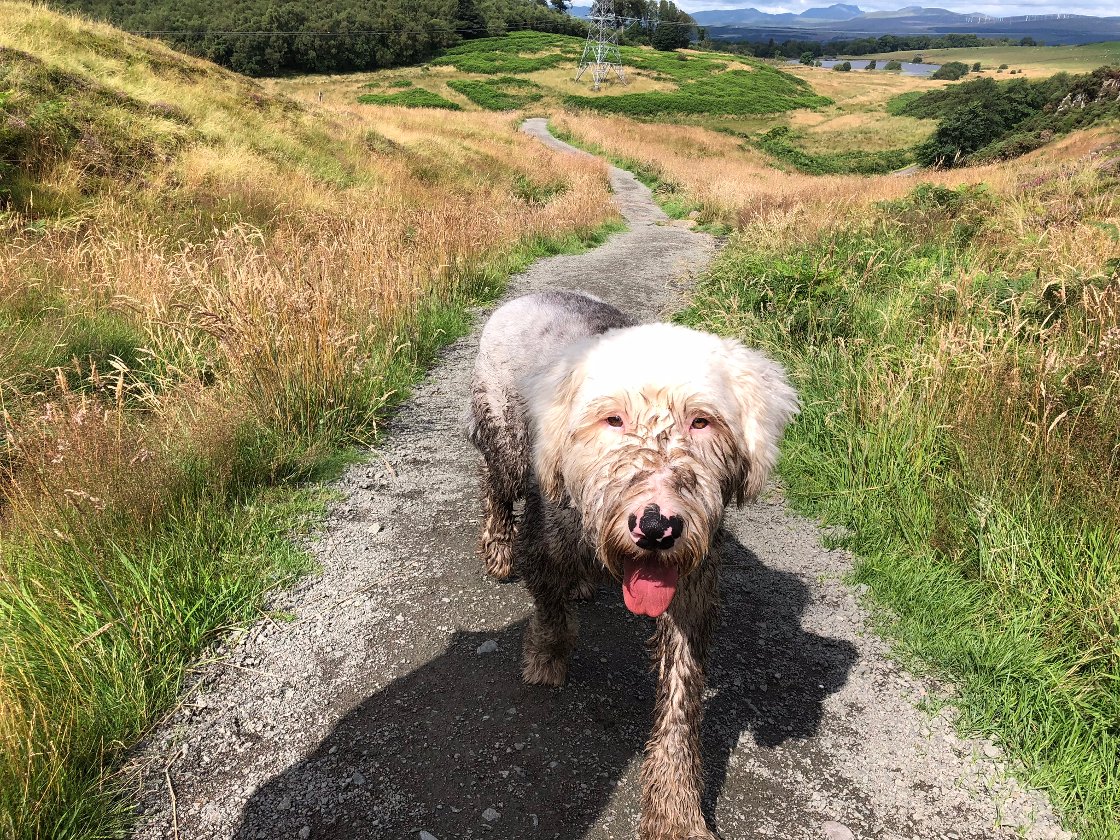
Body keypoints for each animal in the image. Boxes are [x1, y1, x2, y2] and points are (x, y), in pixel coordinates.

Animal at [463, 291, 797, 840]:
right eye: (612, 420)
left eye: (701, 421)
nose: (657, 526)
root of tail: (530, 295)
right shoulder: (546, 543)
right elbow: (550, 613)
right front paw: (547, 659)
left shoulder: (690, 591)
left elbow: (680, 704)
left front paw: (676, 811)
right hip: (505, 443)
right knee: (496, 488)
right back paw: (498, 551)